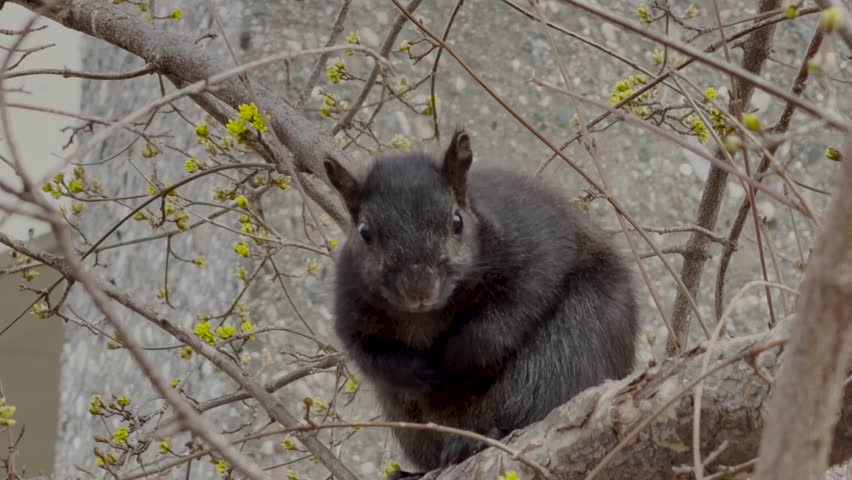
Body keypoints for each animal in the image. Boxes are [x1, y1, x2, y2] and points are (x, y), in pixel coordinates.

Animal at [323, 128, 639, 477]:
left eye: (457, 222)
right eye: (364, 231)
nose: (420, 288)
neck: (426, 316)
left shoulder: (536, 248)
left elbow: (510, 314)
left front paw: (456, 358)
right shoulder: (351, 308)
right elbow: (371, 355)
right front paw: (422, 372)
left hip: (570, 349)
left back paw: (477, 439)